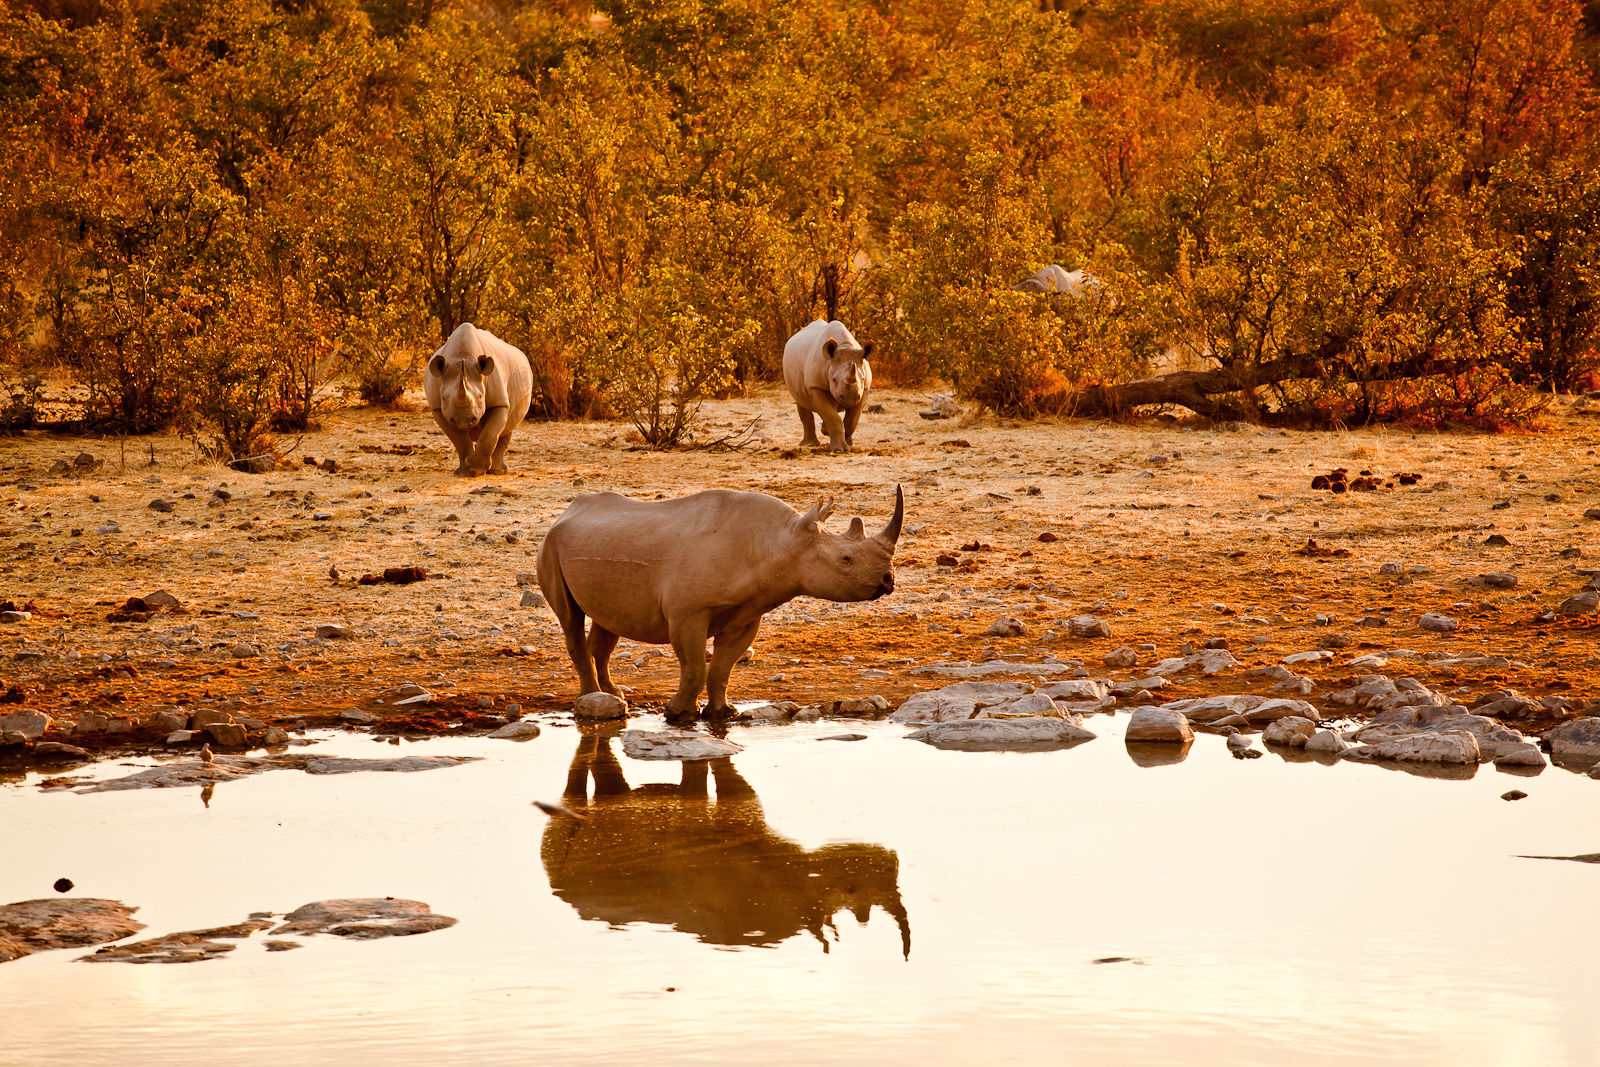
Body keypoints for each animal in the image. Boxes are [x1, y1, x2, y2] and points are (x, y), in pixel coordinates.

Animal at [423, 322, 534, 476]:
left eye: (481, 396)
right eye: (443, 398)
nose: (463, 421)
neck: (463, 356)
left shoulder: (499, 403)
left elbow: (490, 434)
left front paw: (477, 468)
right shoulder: (438, 409)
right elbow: (459, 440)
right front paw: (466, 472)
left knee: (507, 428)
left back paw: (498, 472)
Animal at [536, 485, 903, 718]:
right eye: (846, 560)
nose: (888, 580)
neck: (780, 542)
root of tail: (566, 511)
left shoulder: (747, 613)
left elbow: (722, 668)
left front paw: (723, 713)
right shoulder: (688, 613)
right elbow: (695, 668)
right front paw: (677, 714)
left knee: (607, 621)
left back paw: (612, 695)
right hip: (550, 545)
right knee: (569, 617)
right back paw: (590, 698)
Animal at [782, 319, 874, 452]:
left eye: (862, 378)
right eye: (834, 379)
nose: (850, 398)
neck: (845, 345)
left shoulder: (864, 389)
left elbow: (851, 420)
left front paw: (845, 445)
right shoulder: (815, 386)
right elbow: (832, 417)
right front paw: (838, 449)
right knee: (801, 401)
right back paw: (809, 444)